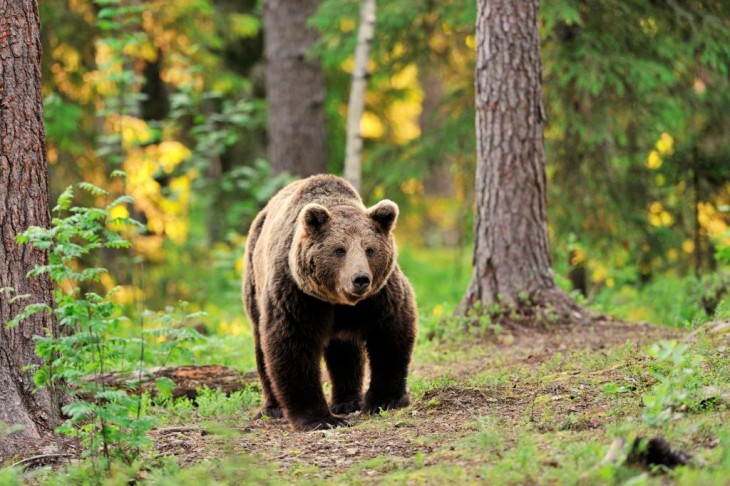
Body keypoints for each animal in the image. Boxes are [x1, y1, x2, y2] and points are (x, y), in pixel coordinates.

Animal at [242, 174, 417, 431]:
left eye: (369, 249)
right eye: (339, 250)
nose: (360, 279)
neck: (337, 299)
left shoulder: (379, 296)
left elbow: (390, 334)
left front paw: (385, 400)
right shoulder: (298, 295)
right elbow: (292, 345)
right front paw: (319, 418)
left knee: (345, 349)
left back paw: (348, 401)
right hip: (254, 281)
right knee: (261, 347)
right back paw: (273, 407)